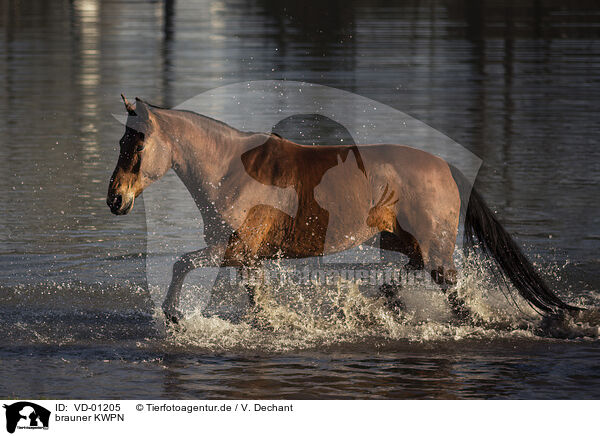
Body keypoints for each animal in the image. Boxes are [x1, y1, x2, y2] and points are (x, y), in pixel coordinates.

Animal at [106, 96, 576, 324]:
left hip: (437, 252)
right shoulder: (250, 260)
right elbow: (257, 303)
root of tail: (445, 166)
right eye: (120, 142)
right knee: (409, 272)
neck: (230, 170)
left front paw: (173, 315)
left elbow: (181, 263)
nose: (115, 200)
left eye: (137, 146)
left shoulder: (235, 250)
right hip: (402, 241)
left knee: (454, 295)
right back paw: (381, 302)